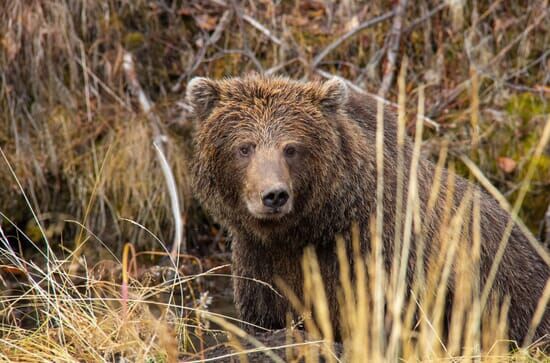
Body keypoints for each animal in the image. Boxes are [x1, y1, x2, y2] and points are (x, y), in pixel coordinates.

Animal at [187, 75, 550, 346]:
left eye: (291, 148)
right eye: (244, 147)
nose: (274, 195)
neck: (311, 229)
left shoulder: (383, 259)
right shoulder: (262, 265)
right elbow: (267, 316)